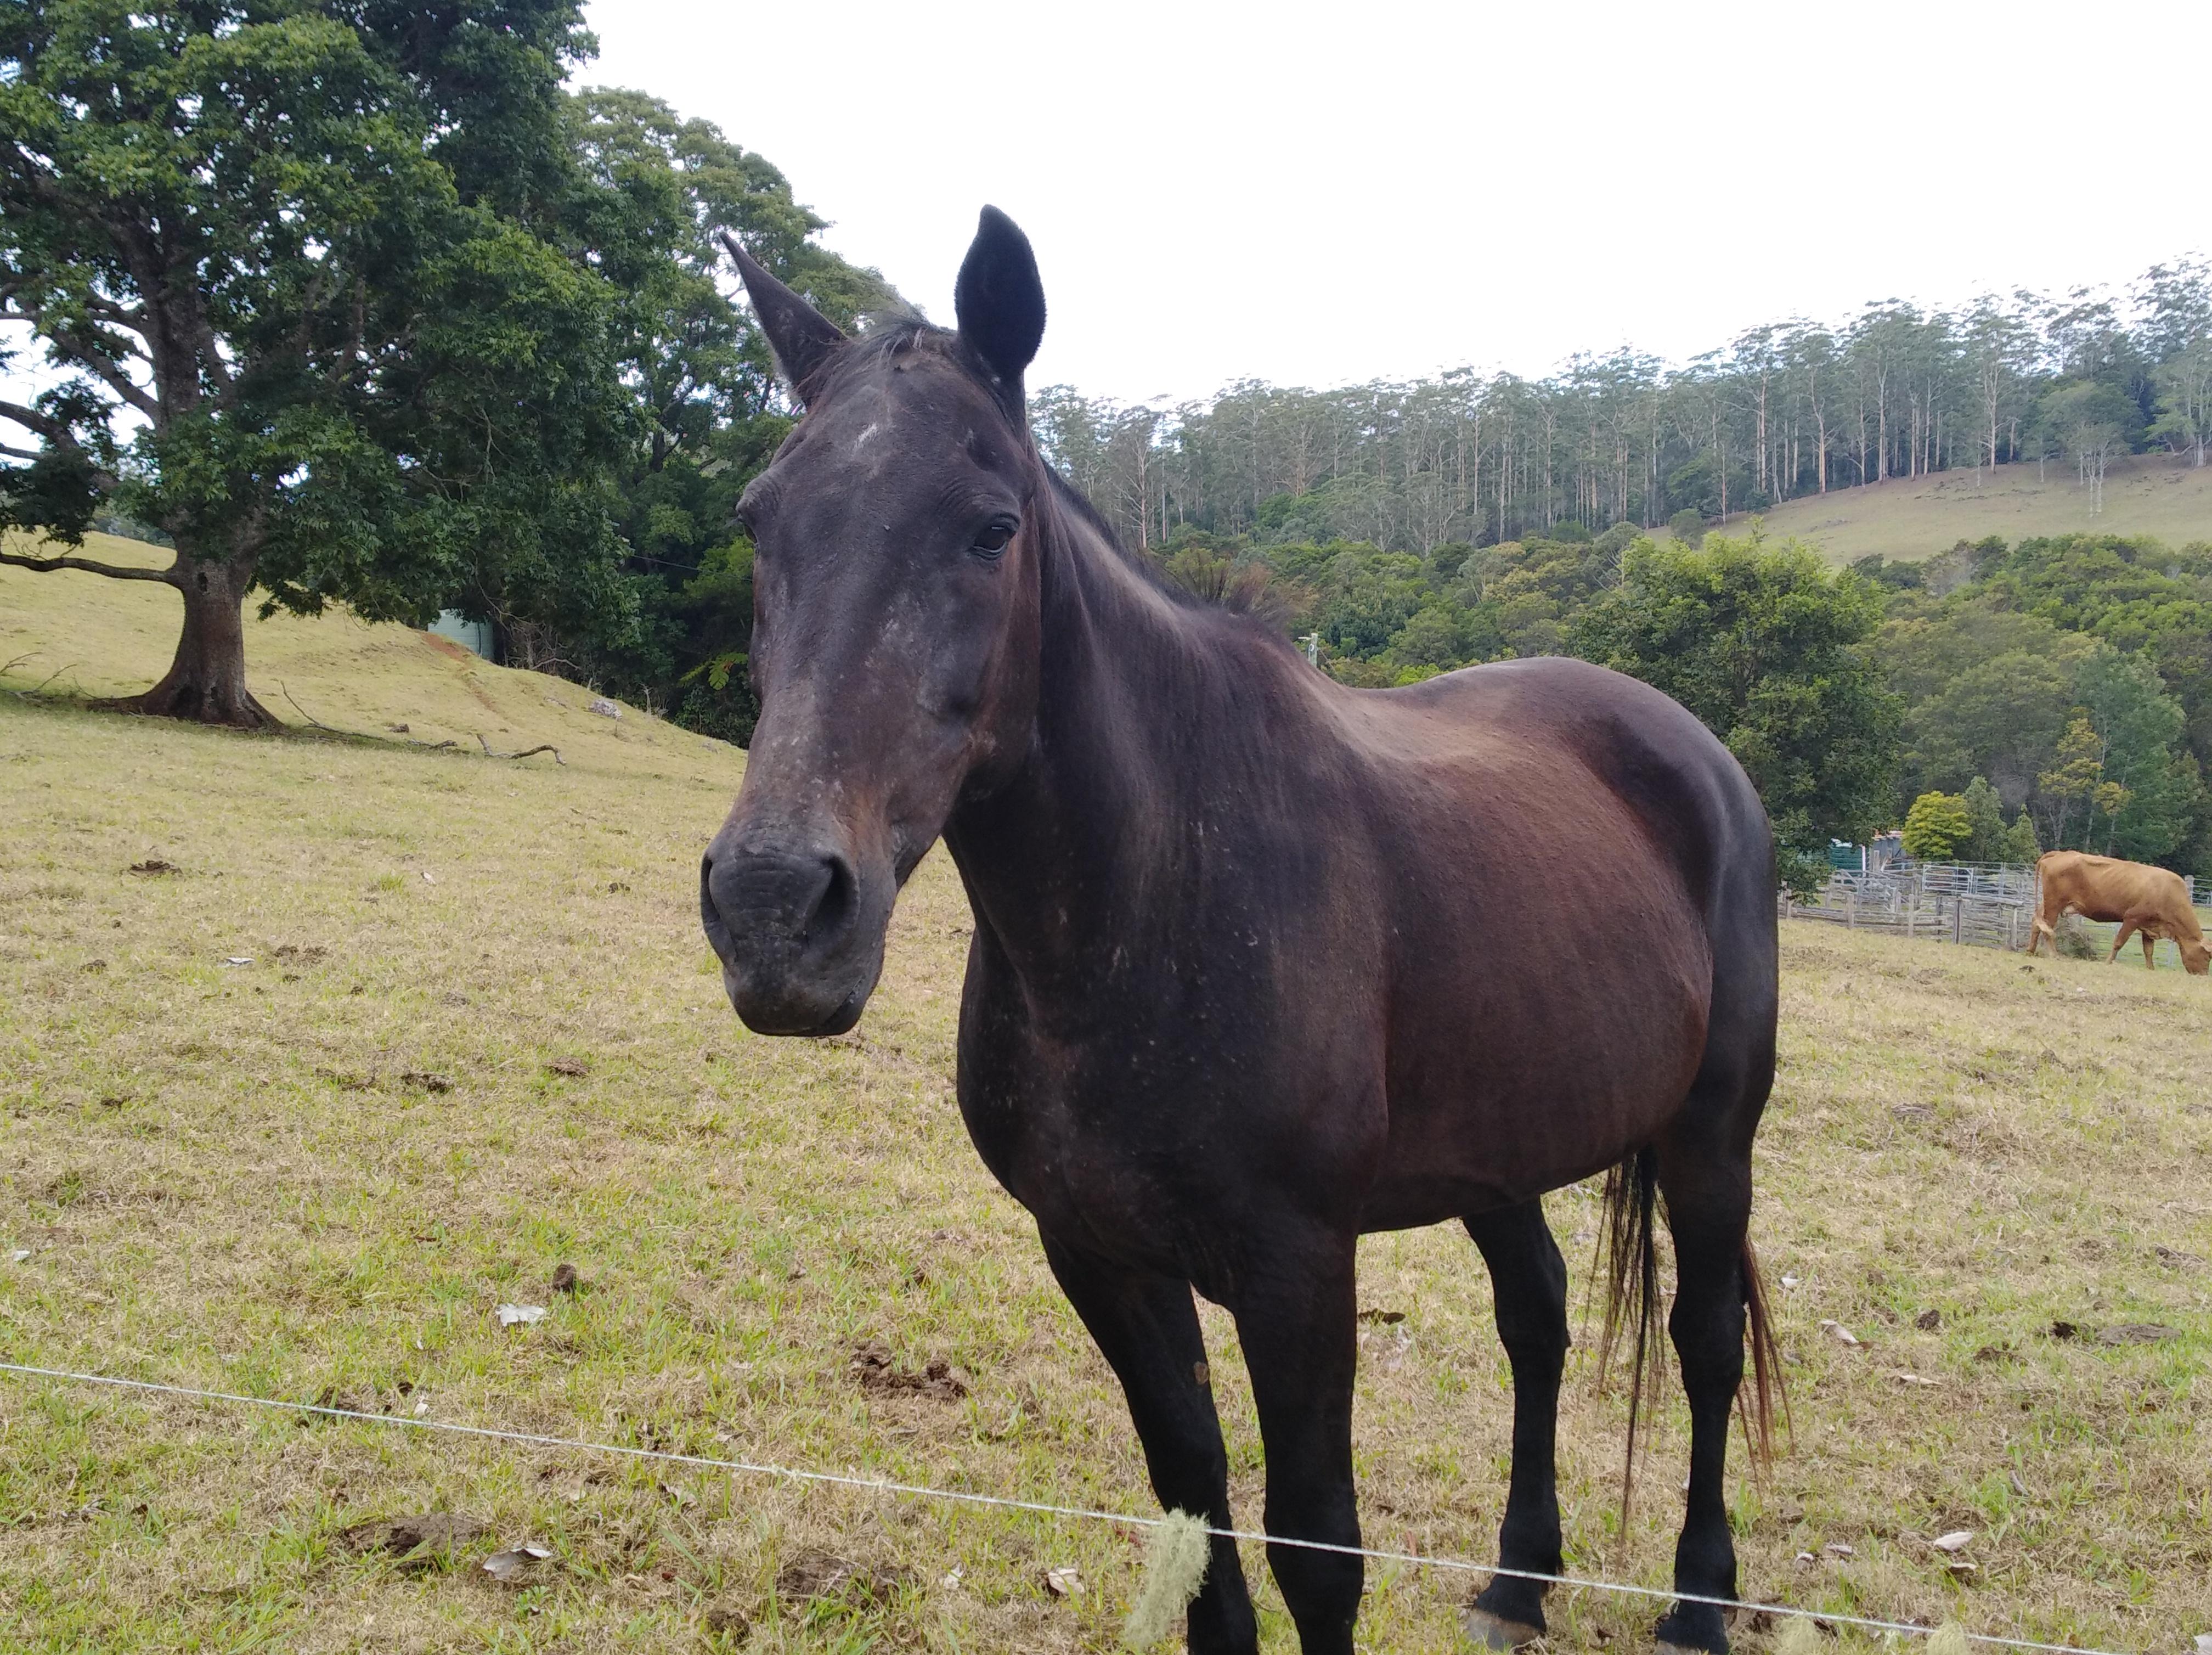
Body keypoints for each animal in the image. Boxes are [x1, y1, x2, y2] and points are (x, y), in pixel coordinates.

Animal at [703, 210, 1778, 1655]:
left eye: (992, 528)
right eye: (760, 519)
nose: (774, 904)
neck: (1149, 906)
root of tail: (1692, 750)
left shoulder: (1297, 1271)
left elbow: (1316, 1544)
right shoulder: (1102, 1256)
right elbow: (1192, 1503)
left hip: (1712, 1137)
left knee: (1703, 1340)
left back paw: (1699, 1599)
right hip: (1502, 1146)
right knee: (1538, 1319)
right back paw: (1518, 1578)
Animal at [2026, 845, 2203, 978]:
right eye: (2207, 954)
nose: (2203, 974)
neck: (2167, 892)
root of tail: (2060, 854)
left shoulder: (2148, 927)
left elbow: (2148, 951)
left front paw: (2151, 968)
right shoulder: (2132, 919)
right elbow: (2119, 943)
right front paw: (2108, 962)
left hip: (2048, 904)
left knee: (2037, 923)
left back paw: (2030, 951)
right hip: (2054, 905)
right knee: (2048, 928)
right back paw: (2053, 955)